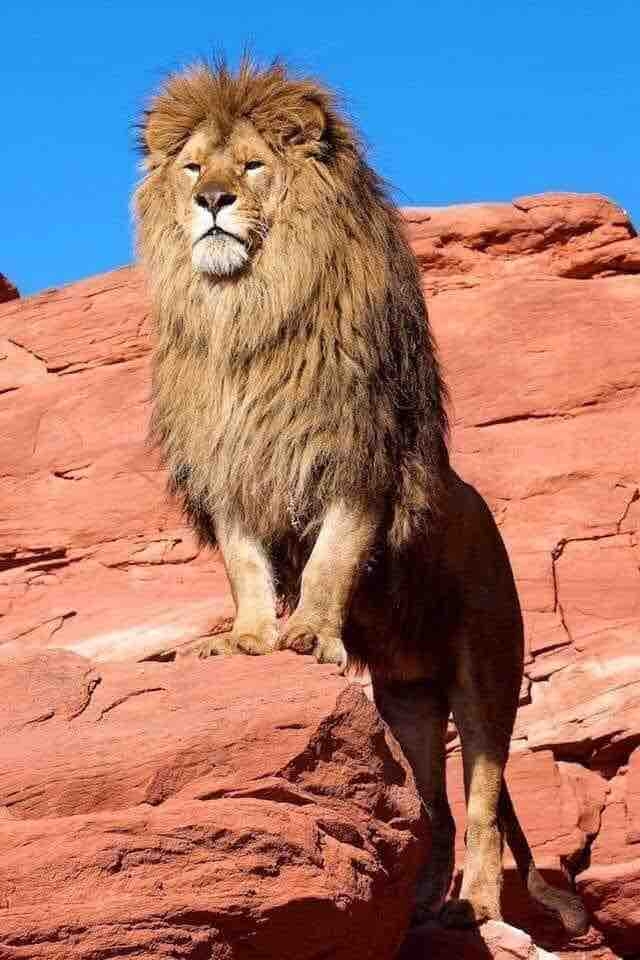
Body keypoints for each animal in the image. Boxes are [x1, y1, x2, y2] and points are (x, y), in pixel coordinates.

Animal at [134, 60, 588, 934]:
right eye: (192, 168)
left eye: (250, 167)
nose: (213, 202)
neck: (248, 315)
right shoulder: (233, 471)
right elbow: (247, 568)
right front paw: (245, 640)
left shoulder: (356, 459)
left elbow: (331, 562)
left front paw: (309, 634)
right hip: (407, 700)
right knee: (434, 812)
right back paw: (418, 910)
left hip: (485, 677)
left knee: (482, 805)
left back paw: (475, 909)